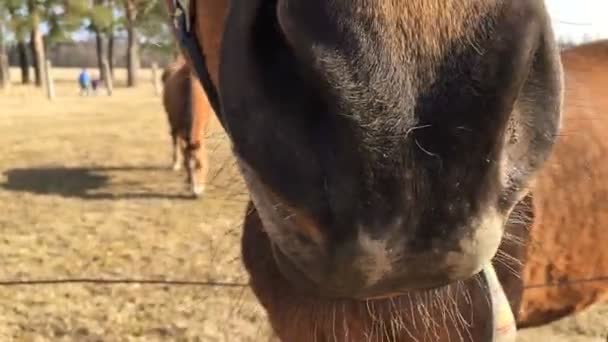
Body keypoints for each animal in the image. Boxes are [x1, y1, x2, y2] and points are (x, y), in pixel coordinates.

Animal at [160, 56, 213, 198]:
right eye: (188, 167)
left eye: (201, 165)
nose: (196, 193)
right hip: (172, 120)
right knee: (175, 139)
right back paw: (175, 163)